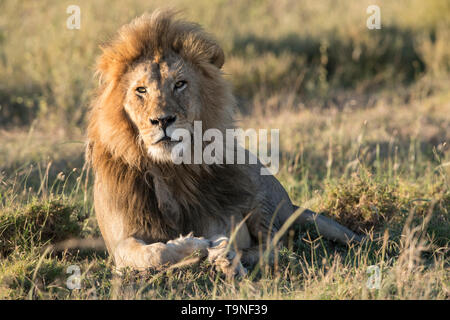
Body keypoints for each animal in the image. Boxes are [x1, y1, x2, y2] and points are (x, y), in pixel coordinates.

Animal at [87, 9, 362, 276]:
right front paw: (194, 245)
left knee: (276, 248)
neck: (169, 168)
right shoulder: (119, 244)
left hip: (256, 191)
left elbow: (227, 240)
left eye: (180, 84)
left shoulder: (223, 219)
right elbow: (152, 253)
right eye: (141, 90)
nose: (162, 120)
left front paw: (218, 251)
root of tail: (289, 203)